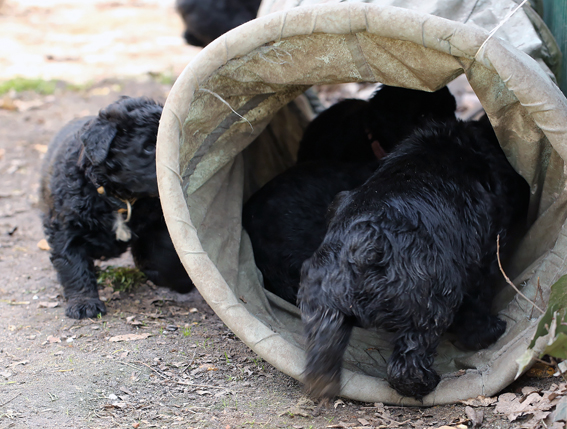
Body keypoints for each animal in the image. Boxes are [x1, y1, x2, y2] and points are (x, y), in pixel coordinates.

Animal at [40, 96, 194, 318]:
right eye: (149, 147)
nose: (176, 170)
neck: (121, 199)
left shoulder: (156, 224)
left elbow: (160, 255)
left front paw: (180, 281)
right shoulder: (65, 228)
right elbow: (73, 264)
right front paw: (84, 304)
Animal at [300, 116, 532, 398]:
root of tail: (360, 245)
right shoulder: (484, 255)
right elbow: (477, 302)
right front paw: (488, 333)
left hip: (322, 304)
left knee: (323, 346)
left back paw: (321, 383)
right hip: (428, 303)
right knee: (408, 361)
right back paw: (425, 383)